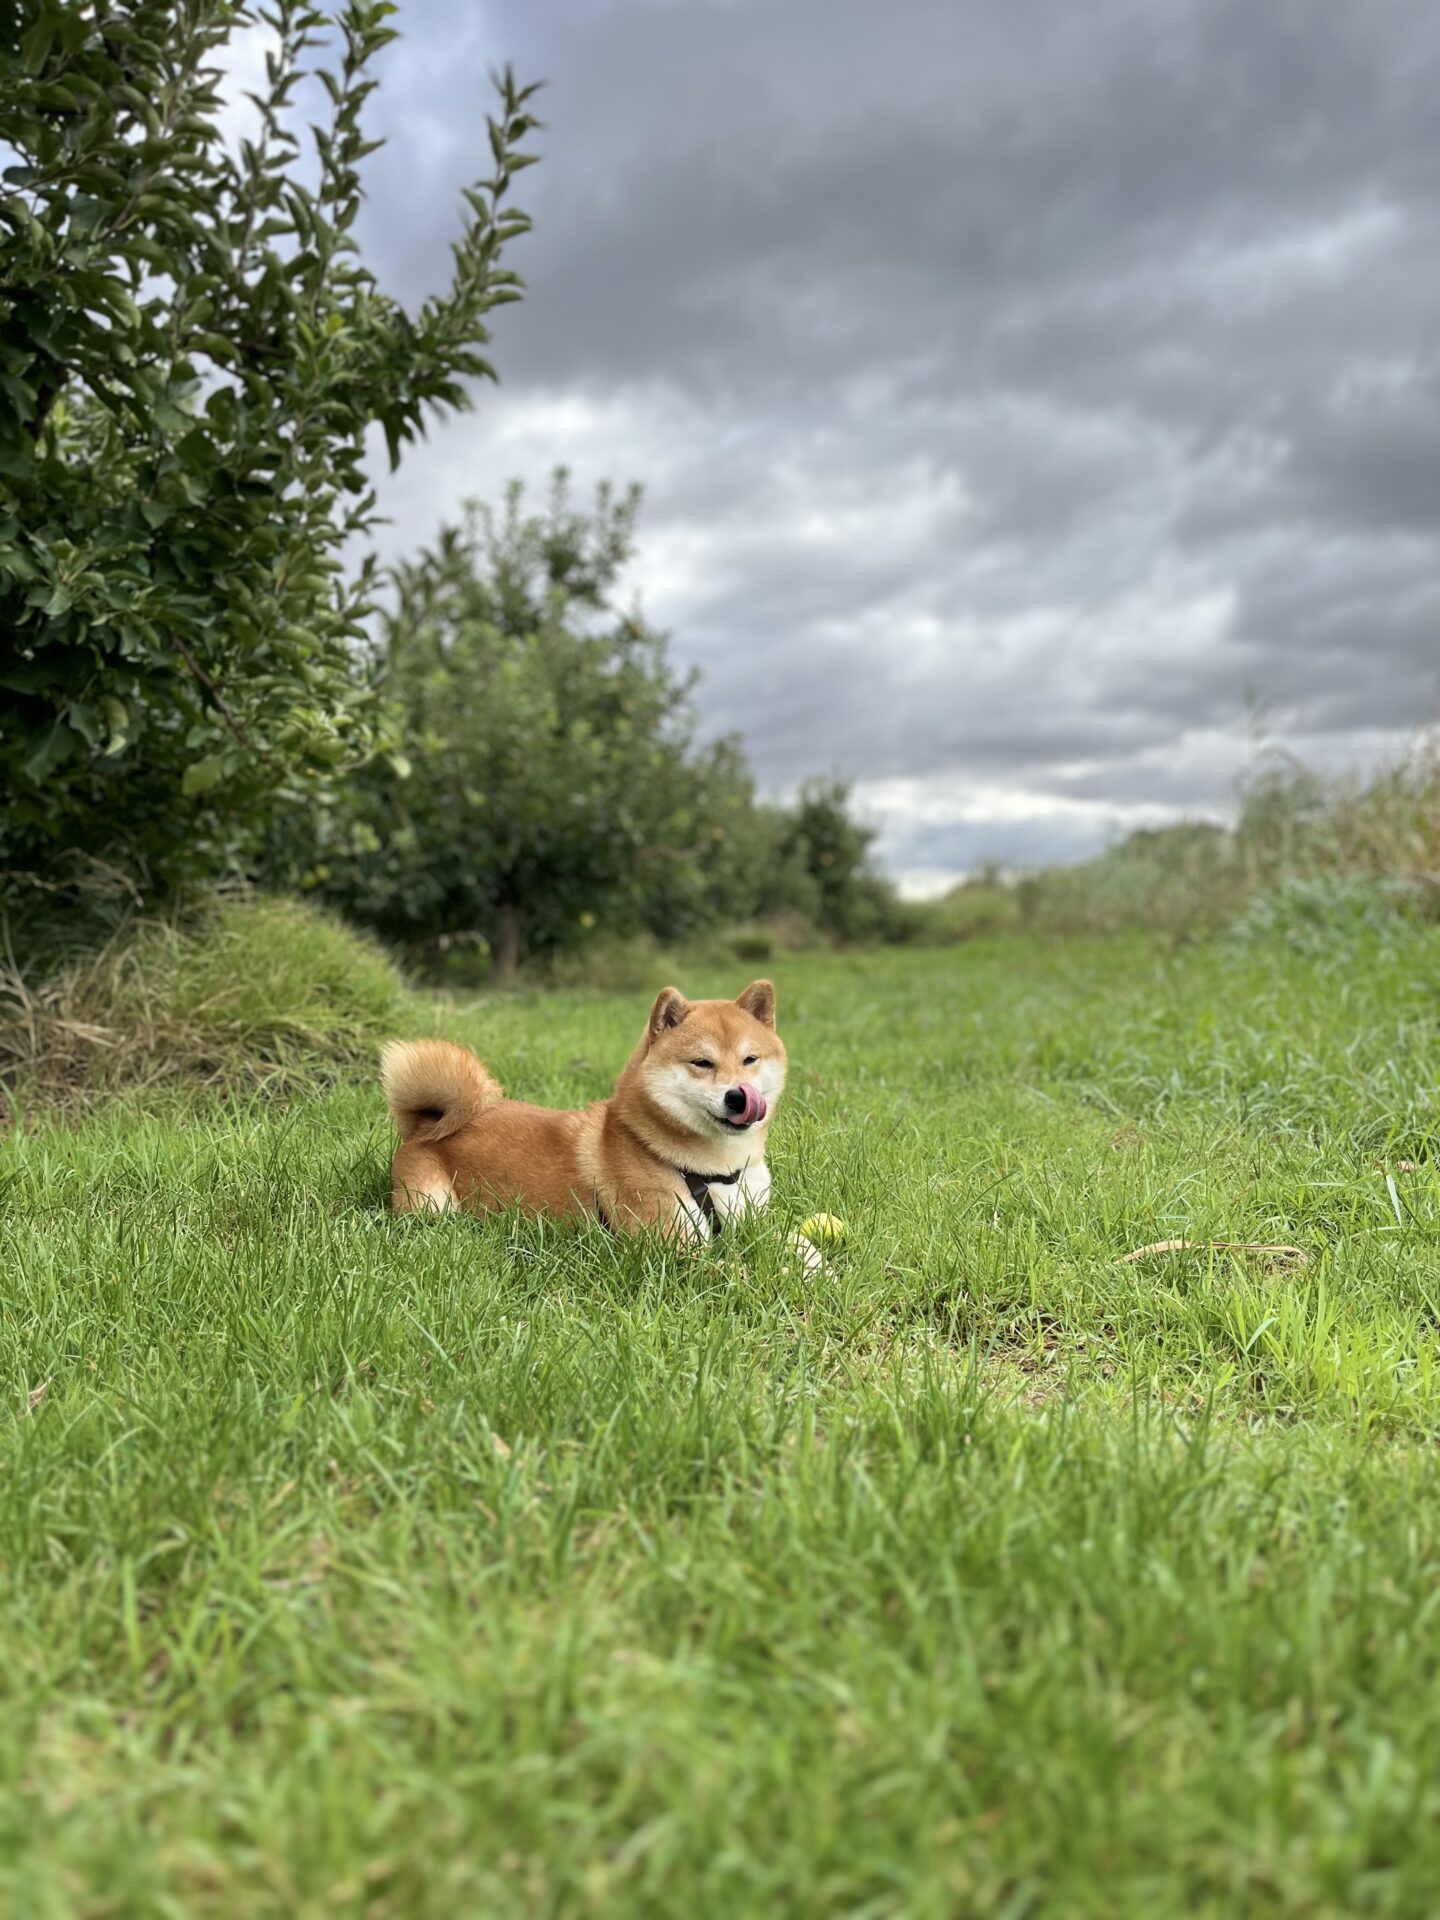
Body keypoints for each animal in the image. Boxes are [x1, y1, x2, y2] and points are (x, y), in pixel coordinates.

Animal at [380, 983, 791, 1236]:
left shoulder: (753, 1219)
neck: (720, 1171)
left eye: (750, 1059)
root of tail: (425, 1125)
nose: (739, 1096)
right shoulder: (673, 1243)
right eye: (702, 1063)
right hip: (432, 1205)